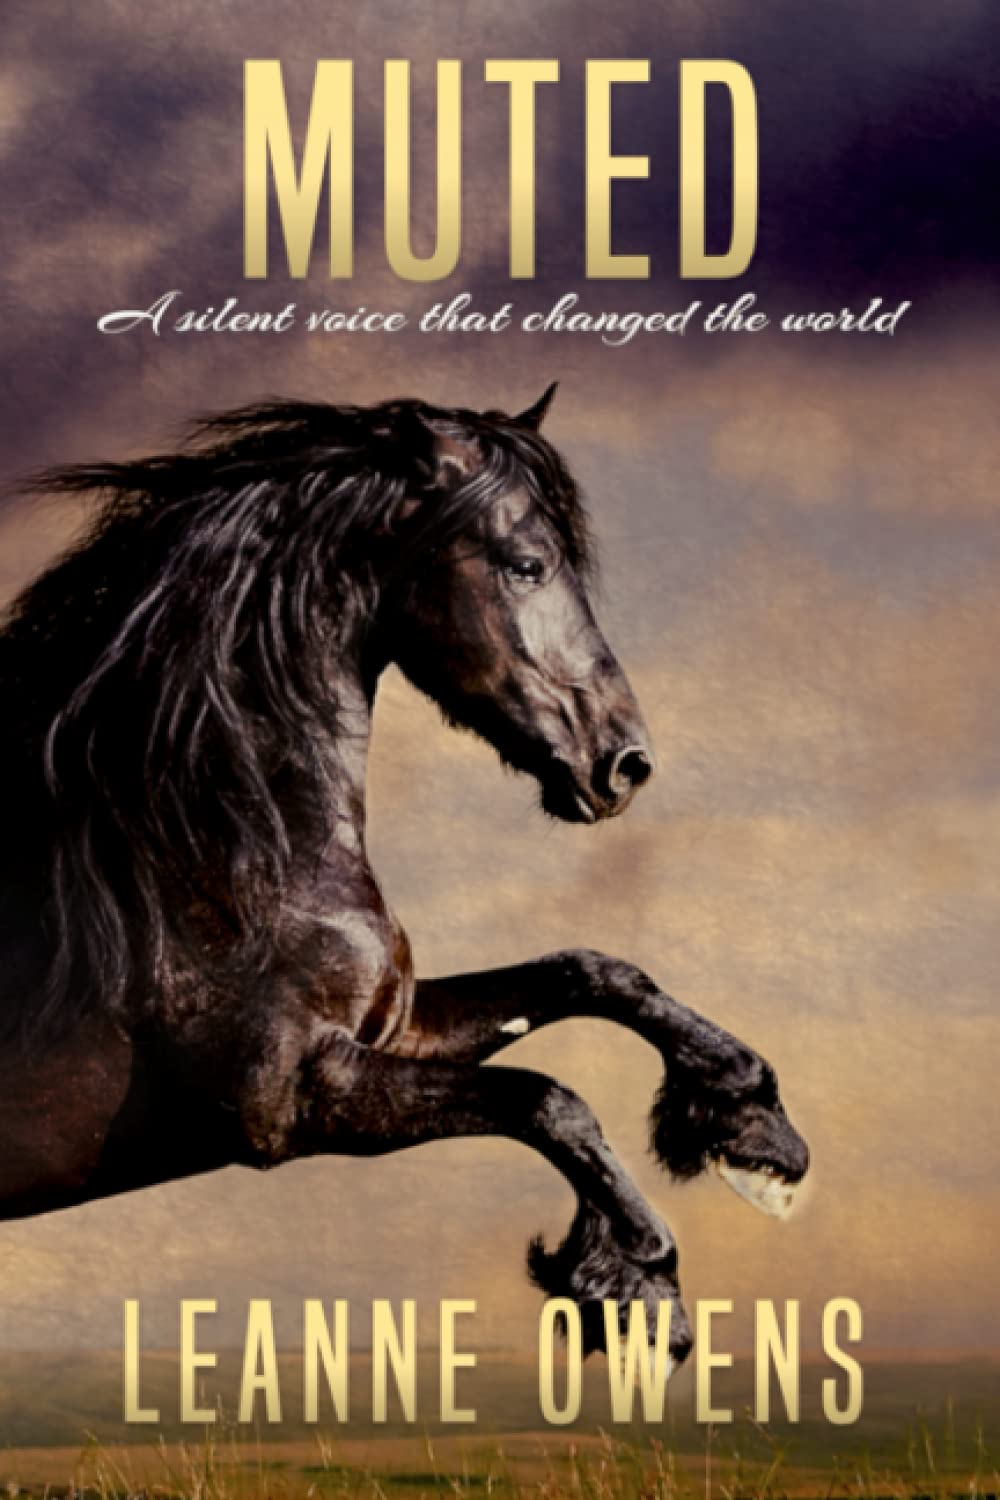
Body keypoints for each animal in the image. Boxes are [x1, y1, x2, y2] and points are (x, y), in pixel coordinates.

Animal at [0, 386, 808, 1368]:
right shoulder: (293, 1100)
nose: (625, 763)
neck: (200, 853)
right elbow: (548, 1100)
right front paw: (638, 1278)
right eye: (527, 563)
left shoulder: (392, 1030)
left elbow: (590, 974)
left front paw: (752, 1126)